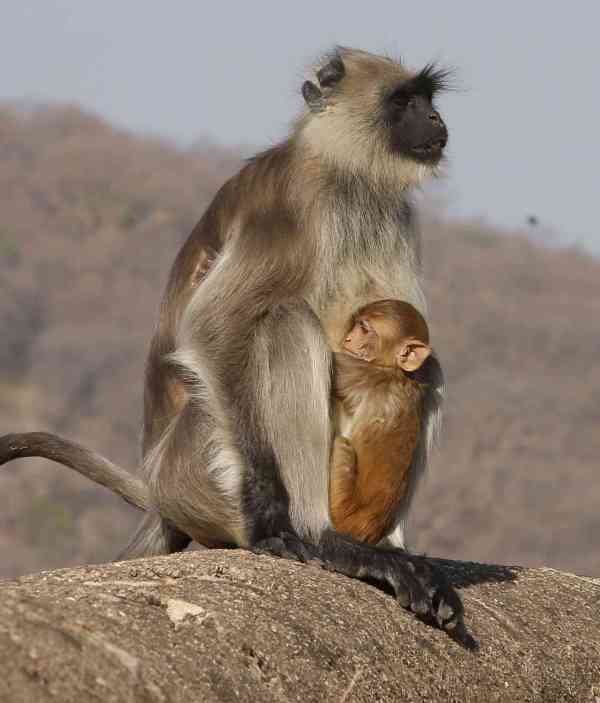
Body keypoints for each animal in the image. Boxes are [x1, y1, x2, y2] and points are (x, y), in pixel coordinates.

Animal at [329, 299, 432, 545]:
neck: (396, 371)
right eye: (356, 324)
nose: (348, 339)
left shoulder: (363, 374)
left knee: (342, 446)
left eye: (364, 329)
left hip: (341, 505)